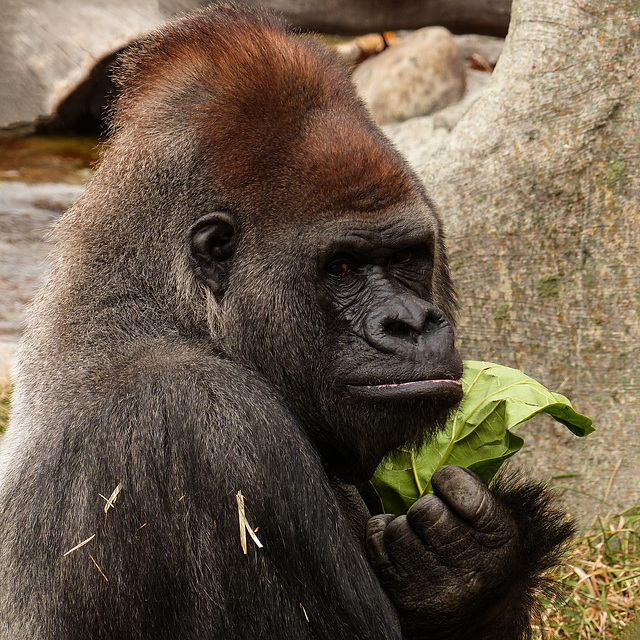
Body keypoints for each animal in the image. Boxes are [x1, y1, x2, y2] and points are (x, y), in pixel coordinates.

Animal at [0, 6, 568, 640]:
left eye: (407, 257)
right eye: (342, 267)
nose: (411, 322)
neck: (167, 310)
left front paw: (469, 566)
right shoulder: (209, 424)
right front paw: (469, 572)